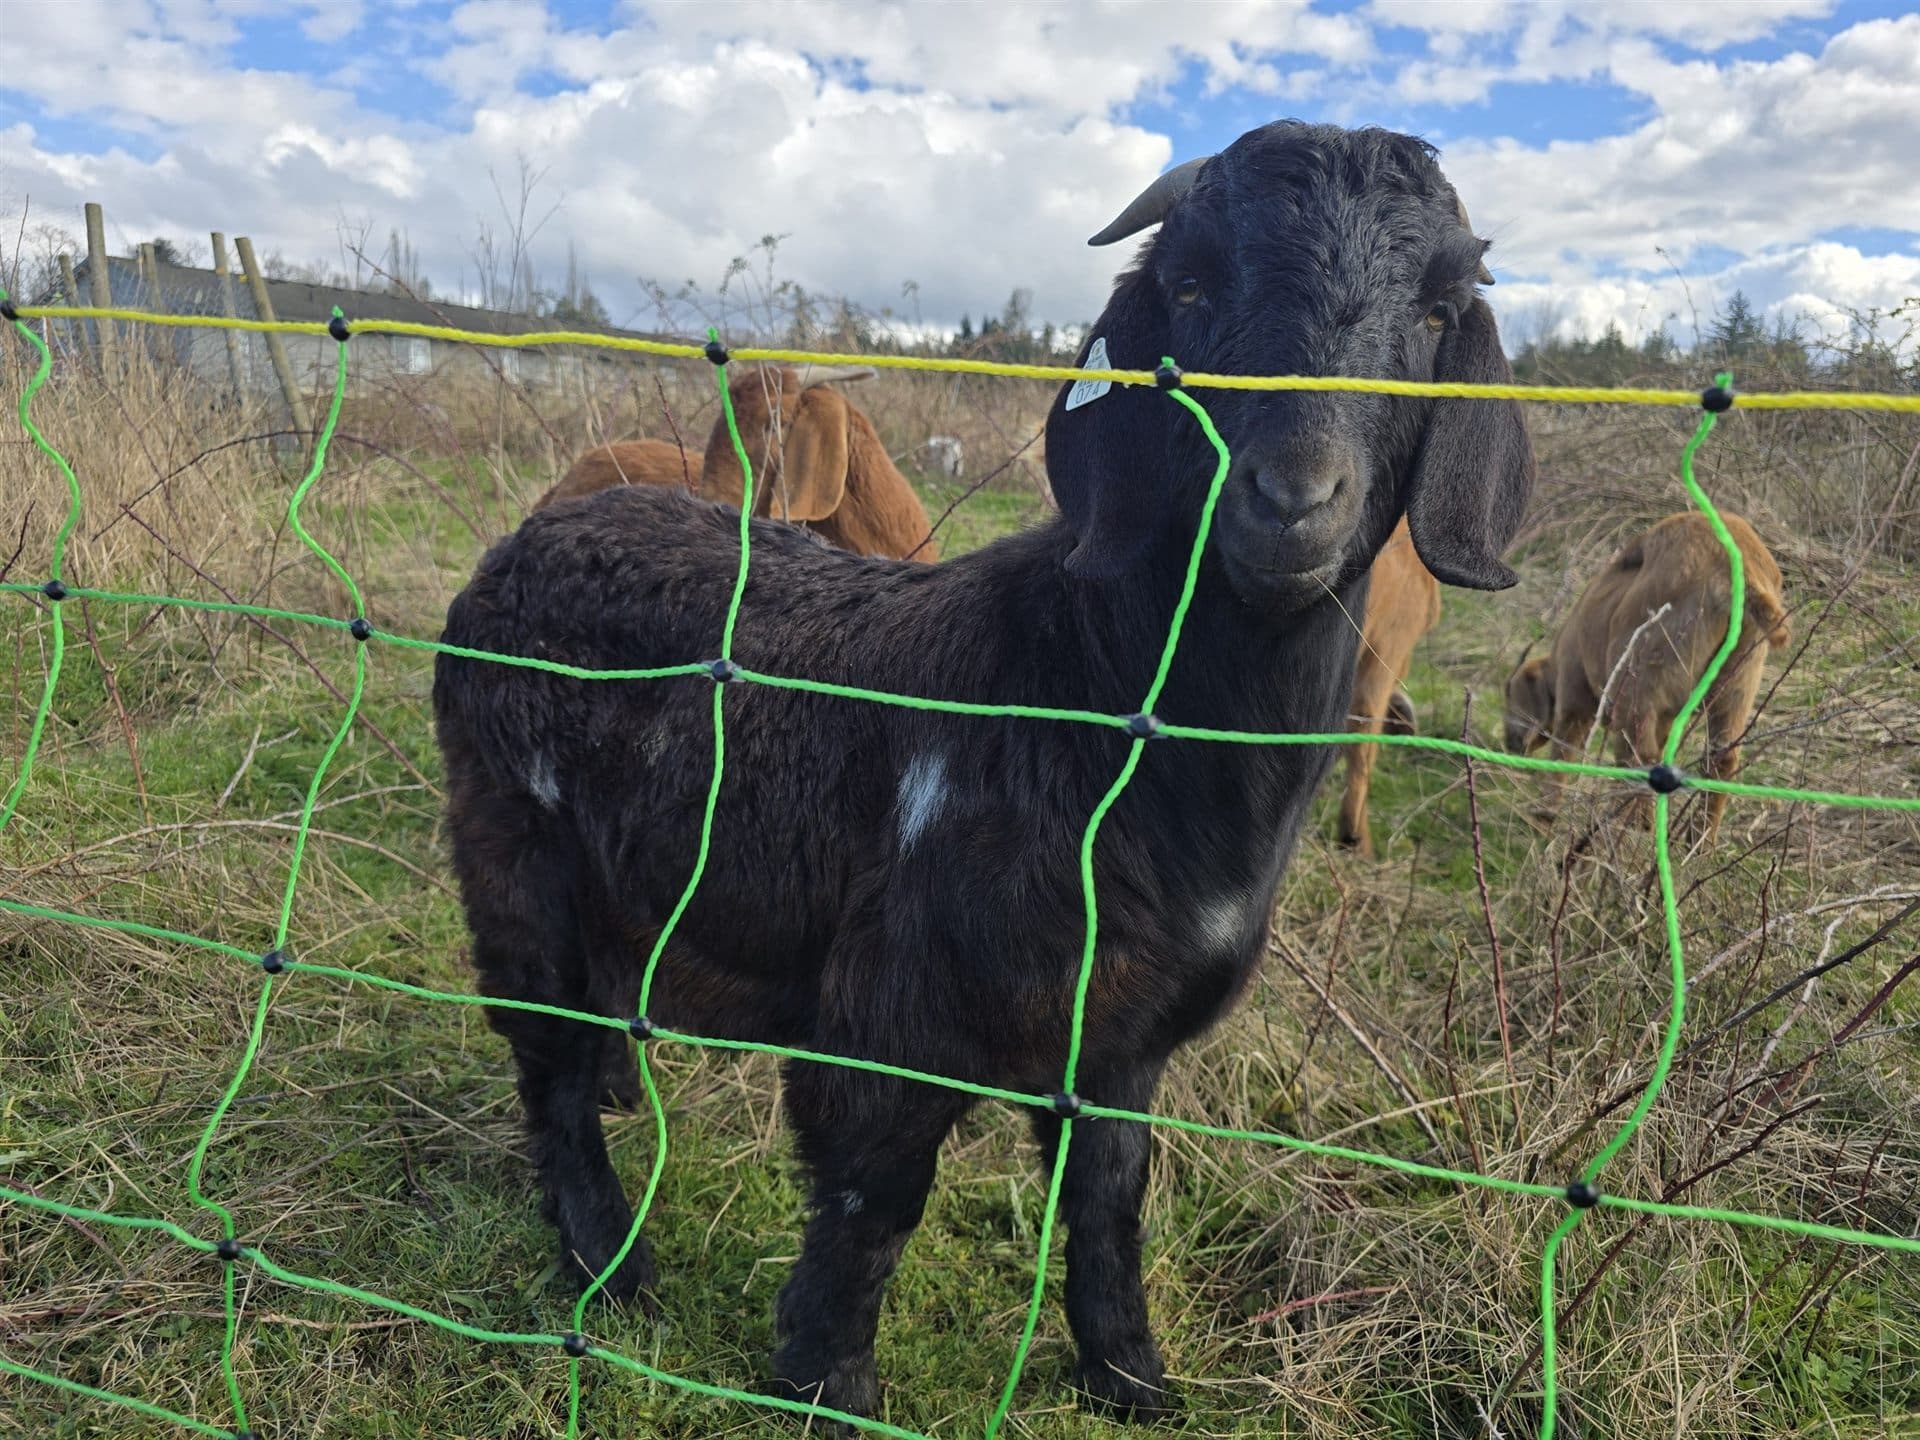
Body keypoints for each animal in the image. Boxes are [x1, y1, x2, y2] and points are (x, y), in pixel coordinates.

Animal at [1503, 509, 1789, 841]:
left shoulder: (1575, 696)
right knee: (1720, 758)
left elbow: (1564, 751)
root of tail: (1736, 567)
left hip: (1639, 681)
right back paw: (1697, 841)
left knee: (1642, 759)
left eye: (1511, 694)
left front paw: (1543, 816)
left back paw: (1619, 833)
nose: (1509, 742)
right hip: (1738, 683)